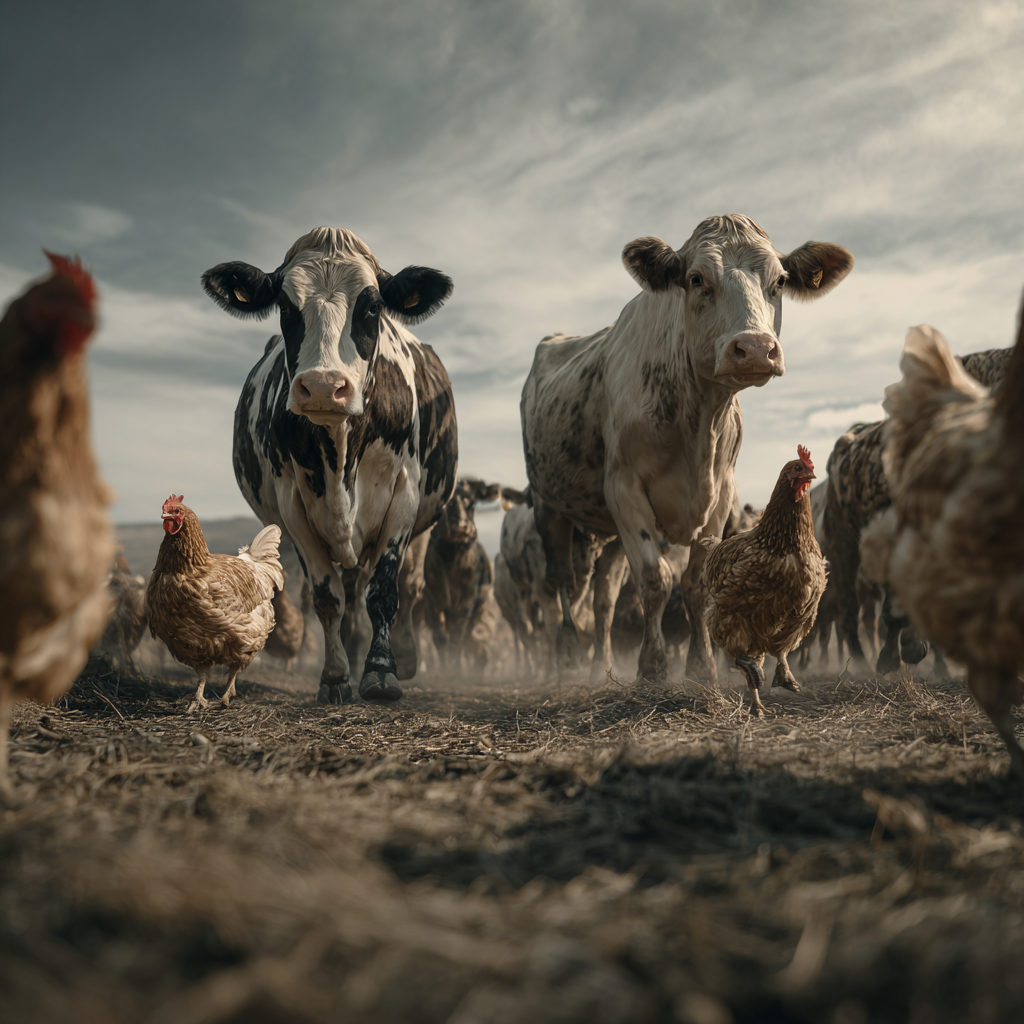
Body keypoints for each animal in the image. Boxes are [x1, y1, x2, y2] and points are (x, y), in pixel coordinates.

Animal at [201, 227, 457, 704]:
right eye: (285, 306)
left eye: (372, 306)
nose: (322, 386)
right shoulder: (293, 505)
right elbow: (328, 598)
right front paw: (337, 676)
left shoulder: (404, 495)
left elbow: (385, 592)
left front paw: (381, 672)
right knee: (350, 592)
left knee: (407, 588)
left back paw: (403, 656)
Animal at [521, 214, 853, 683]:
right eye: (696, 279)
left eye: (780, 281)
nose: (755, 348)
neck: (700, 422)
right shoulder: (624, 488)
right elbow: (655, 580)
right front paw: (652, 666)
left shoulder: (721, 495)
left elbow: (697, 583)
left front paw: (701, 667)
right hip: (548, 505)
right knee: (563, 584)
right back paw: (566, 657)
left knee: (603, 600)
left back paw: (602, 663)